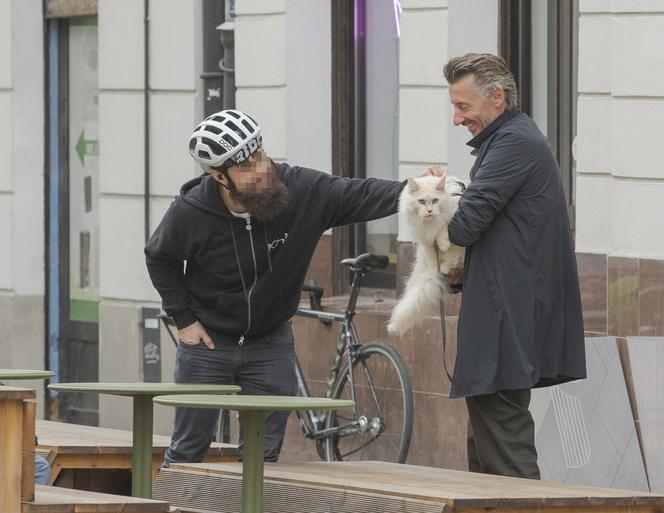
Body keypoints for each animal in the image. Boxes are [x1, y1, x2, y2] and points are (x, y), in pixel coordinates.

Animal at [386, 174, 464, 336]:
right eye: (421, 201)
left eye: (435, 201)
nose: (429, 211)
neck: (430, 224)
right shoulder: (425, 239)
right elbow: (431, 253)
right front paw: (436, 264)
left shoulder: (455, 211)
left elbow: (443, 227)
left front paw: (444, 243)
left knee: (453, 258)